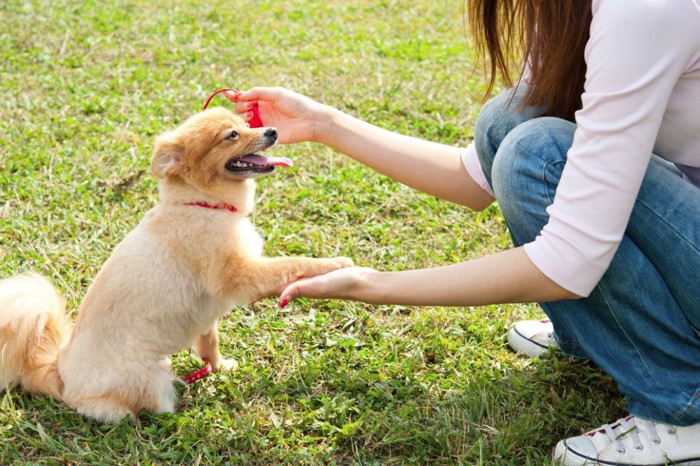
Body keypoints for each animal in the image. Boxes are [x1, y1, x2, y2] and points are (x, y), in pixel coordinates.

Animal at [0, 108, 350, 422]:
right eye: (232, 135)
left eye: (245, 123)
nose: (273, 131)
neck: (202, 204)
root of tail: (59, 370)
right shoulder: (238, 276)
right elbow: (290, 263)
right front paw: (334, 263)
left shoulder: (207, 313)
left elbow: (210, 343)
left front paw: (220, 368)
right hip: (150, 378)